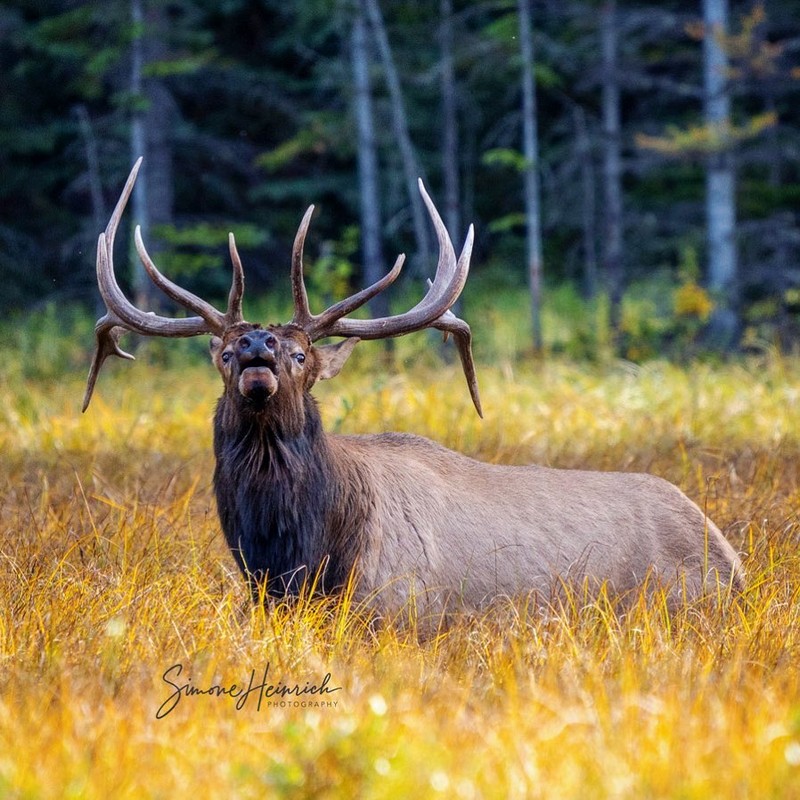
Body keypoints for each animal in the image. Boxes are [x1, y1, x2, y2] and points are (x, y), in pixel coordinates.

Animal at [83, 158, 744, 620]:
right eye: (223, 354)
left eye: (302, 353)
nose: (256, 348)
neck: (298, 554)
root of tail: (730, 556)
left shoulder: (402, 608)